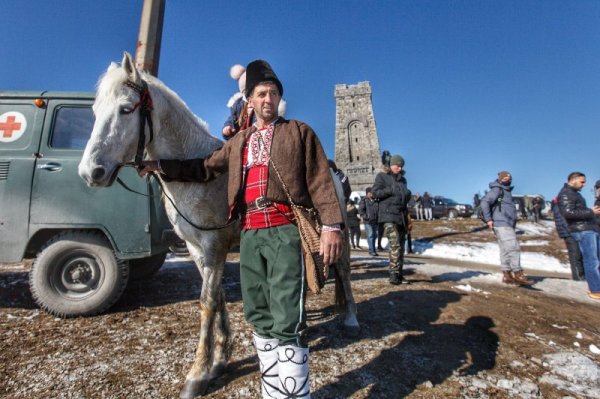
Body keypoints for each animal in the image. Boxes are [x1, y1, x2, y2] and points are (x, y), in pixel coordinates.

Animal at [75, 54, 356, 399]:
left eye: (126, 109)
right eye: (95, 111)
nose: (90, 172)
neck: (194, 174)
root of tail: (332, 172)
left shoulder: (213, 246)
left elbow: (207, 302)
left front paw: (197, 375)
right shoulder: (199, 248)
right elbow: (218, 297)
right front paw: (220, 358)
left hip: (335, 232)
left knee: (343, 269)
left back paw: (351, 319)